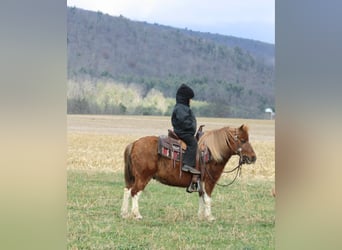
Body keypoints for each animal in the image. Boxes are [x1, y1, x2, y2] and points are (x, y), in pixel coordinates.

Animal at [121, 124, 256, 220]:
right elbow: (207, 198)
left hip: (135, 177)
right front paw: (210, 217)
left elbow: (201, 197)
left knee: (127, 190)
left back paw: (124, 213)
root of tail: (134, 143)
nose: (253, 158)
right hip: (143, 177)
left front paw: (200, 216)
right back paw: (137, 214)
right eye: (243, 140)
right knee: (135, 192)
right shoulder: (209, 181)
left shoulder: (201, 182)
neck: (210, 153)